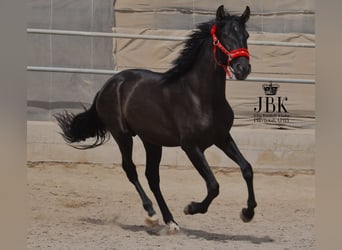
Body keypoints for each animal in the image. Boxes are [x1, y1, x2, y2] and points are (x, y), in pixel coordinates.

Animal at [54, 5, 255, 232]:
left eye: (246, 35)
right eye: (224, 36)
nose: (242, 69)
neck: (200, 97)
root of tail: (109, 84)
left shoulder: (221, 138)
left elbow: (247, 169)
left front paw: (247, 213)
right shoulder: (191, 146)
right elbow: (213, 185)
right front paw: (191, 208)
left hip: (152, 141)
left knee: (152, 177)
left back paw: (171, 221)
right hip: (122, 135)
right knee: (131, 170)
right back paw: (151, 214)